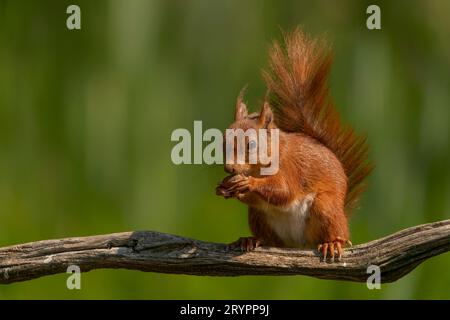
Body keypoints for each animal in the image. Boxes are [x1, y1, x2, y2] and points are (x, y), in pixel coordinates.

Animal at [215, 28, 372, 262]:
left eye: (251, 144)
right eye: (222, 141)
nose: (229, 168)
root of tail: (299, 244)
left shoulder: (290, 169)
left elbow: (283, 191)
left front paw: (248, 183)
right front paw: (223, 188)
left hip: (326, 207)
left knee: (337, 232)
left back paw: (333, 243)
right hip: (258, 217)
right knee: (269, 238)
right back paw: (251, 239)